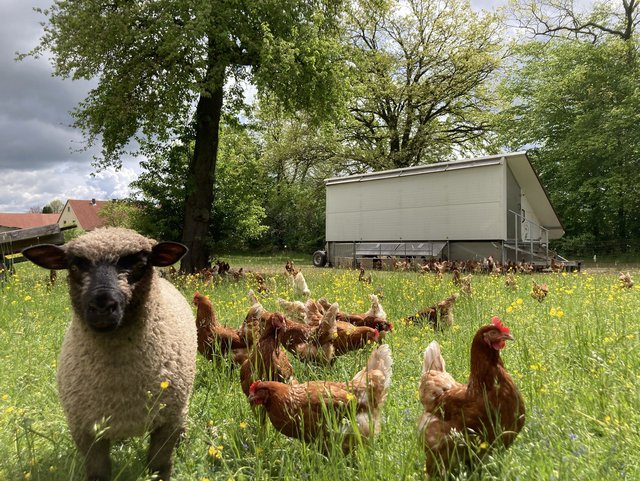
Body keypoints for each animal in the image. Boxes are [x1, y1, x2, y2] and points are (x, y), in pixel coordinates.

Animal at [21, 226, 196, 480]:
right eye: (75, 265)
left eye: (140, 263)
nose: (102, 307)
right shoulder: (85, 429)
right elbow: (98, 472)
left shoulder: (168, 421)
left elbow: (159, 466)